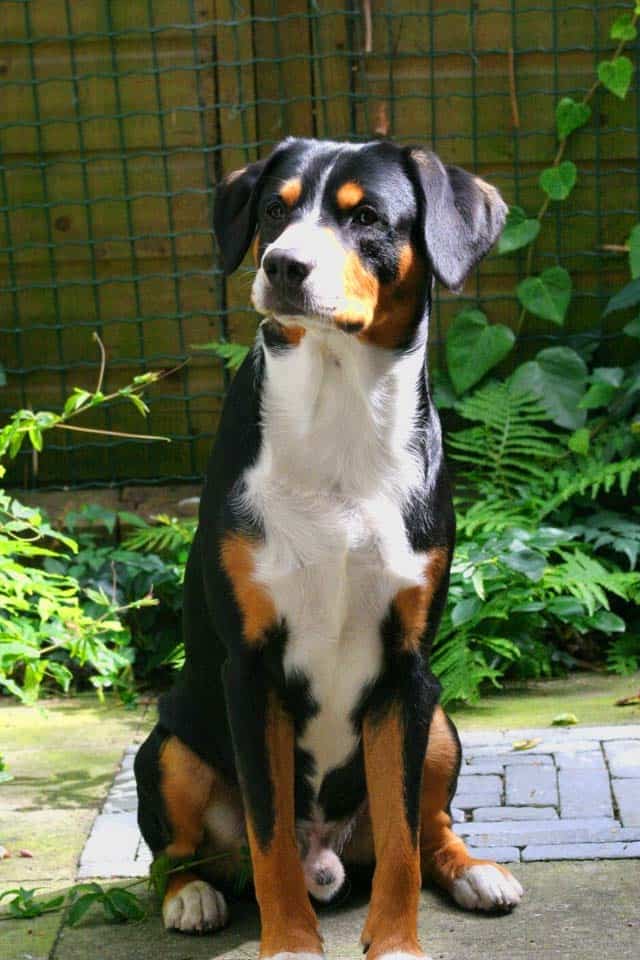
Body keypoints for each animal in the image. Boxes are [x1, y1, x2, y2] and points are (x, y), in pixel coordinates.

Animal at [136, 139, 524, 960]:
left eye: (367, 217)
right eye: (273, 209)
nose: (284, 265)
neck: (339, 411)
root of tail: (334, 860)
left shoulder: (406, 671)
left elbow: (404, 844)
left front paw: (398, 945)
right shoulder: (250, 670)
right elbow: (269, 835)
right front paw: (288, 943)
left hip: (440, 723)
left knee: (429, 828)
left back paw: (476, 873)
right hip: (171, 744)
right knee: (178, 854)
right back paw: (192, 897)